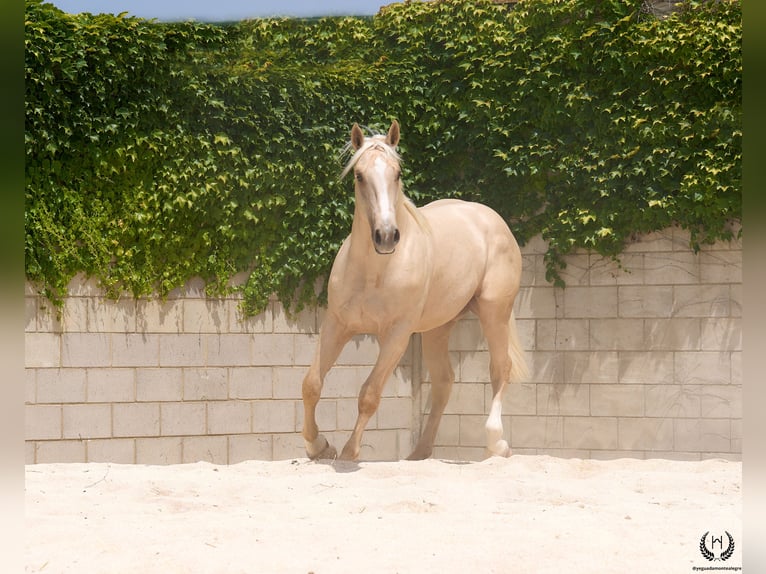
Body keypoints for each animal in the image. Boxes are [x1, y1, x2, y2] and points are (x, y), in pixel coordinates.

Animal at [301, 120, 528, 461]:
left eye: (397, 173)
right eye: (359, 175)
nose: (385, 236)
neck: (376, 271)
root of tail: (491, 218)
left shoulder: (396, 335)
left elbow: (369, 394)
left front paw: (349, 453)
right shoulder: (337, 325)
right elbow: (312, 383)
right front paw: (319, 446)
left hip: (494, 313)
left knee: (500, 369)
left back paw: (497, 444)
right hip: (438, 328)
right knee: (444, 382)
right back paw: (419, 453)